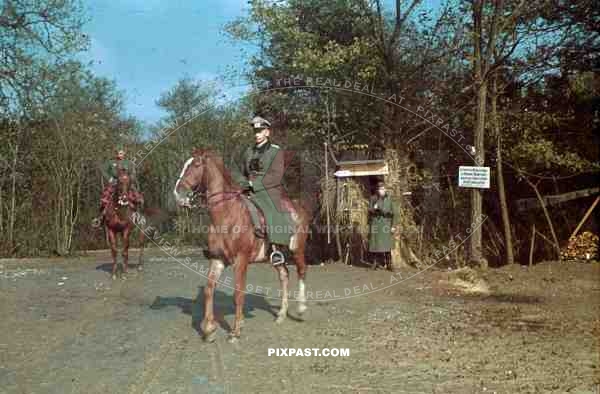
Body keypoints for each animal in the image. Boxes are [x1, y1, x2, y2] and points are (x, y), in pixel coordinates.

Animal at [173, 149, 312, 344]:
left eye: (196, 165)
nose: (178, 193)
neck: (227, 214)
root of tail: (298, 207)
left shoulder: (240, 261)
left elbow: (238, 294)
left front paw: (236, 331)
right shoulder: (218, 260)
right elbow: (209, 290)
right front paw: (209, 330)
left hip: (297, 249)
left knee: (302, 271)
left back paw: (301, 309)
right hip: (276, 257)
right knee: (284, 275)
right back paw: (281, 315)